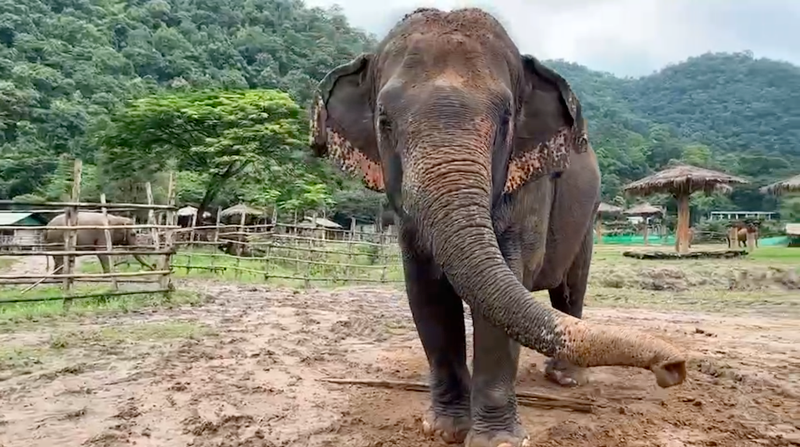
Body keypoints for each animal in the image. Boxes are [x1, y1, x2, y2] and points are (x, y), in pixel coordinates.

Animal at [310, 7, 684, 447]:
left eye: (506, 119)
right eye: (384, 121)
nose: (673, 369)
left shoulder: (529, 188)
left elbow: (509, 278)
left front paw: (498, 441)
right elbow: (425, 292)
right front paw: (445, 429)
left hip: (588, 213)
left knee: (570, 287)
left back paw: (566, 379)